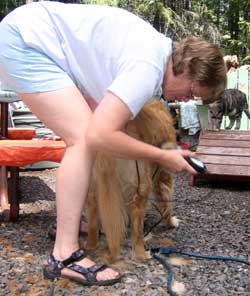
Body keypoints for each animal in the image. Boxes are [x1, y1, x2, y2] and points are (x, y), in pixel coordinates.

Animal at [85, 100, 179, 264]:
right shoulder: (163, 175)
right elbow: (166, 203)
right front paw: (171, 222)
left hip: (93, 186)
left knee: (93, 221)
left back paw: (90, 245)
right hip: (142, 185)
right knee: (137, 229)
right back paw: (141, 254)